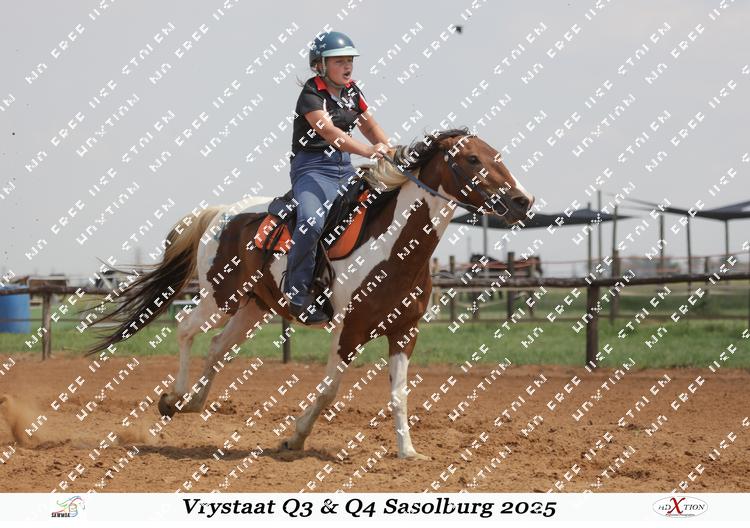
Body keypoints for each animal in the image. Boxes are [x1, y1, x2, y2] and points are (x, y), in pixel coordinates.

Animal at [85, 127, 535, 460]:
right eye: (472, 159)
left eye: (496, 154)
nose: (522, 200)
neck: (392, 246)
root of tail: (221, 212)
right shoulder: (348, 330)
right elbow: (330, 389)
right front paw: (294, 438)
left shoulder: (405, 331)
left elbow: (399, 393)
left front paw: (408, 451)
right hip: (220, 297)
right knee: (184, 328)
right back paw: (173, 398)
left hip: (254, 307)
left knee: (218, 347)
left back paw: (192, 402)